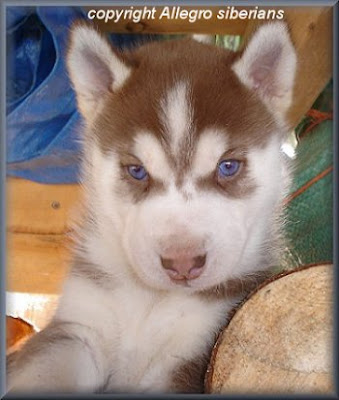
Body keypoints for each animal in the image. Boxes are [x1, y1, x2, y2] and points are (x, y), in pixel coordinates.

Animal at [5, 21, 298, 394]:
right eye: (136, 170)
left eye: (228, 166)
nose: (182, 263)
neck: (151, 299)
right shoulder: (79, 328)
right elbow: (42, 369)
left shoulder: (191, 355)